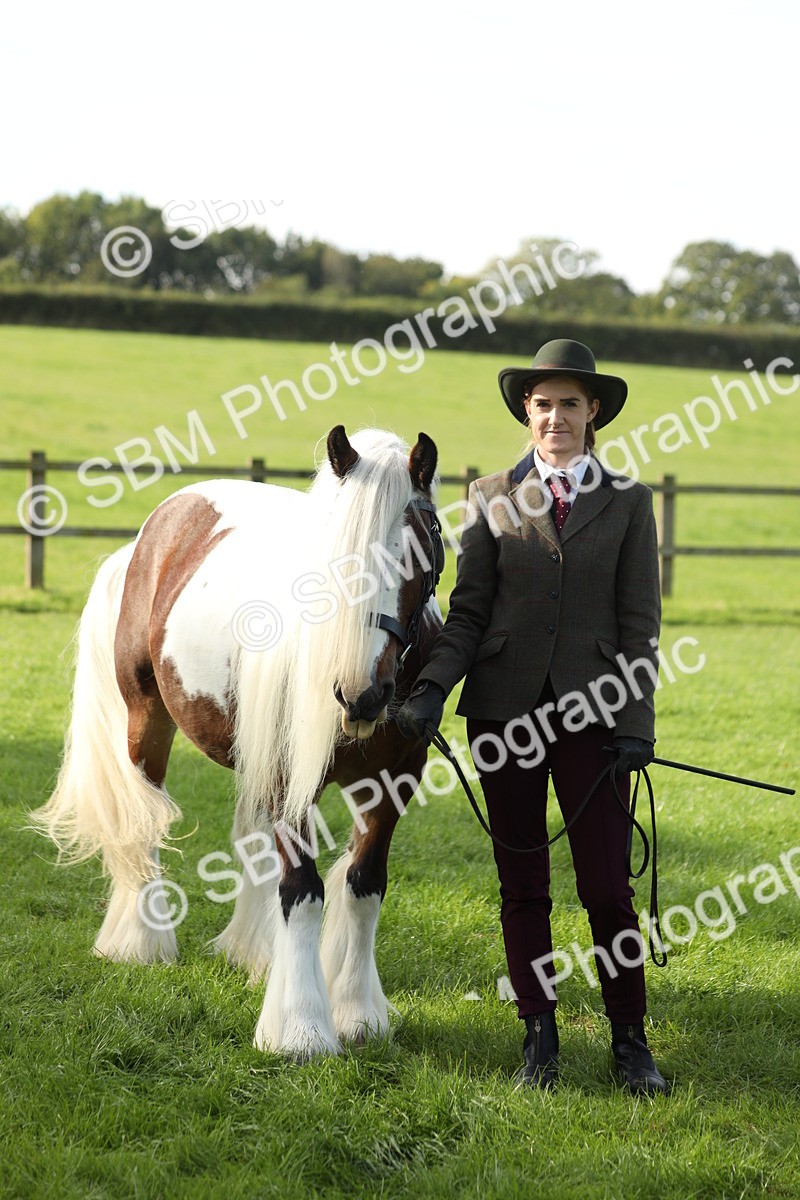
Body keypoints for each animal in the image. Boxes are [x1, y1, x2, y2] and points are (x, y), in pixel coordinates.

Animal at [32, 425, 444, 1059]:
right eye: (328, 560)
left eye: (416, 557)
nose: (359, 696)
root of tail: (148, 538)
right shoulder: (289, 777)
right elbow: (302, 888)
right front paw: (302, 1028)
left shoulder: (393, 779)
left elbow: (363, 886)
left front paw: (357, 1012)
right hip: (145, 724)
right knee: (145, 825)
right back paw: (141, 943)